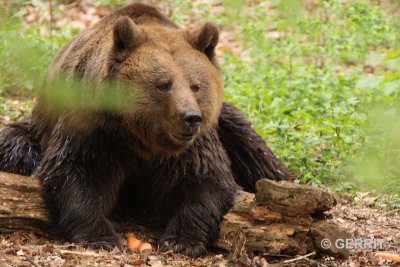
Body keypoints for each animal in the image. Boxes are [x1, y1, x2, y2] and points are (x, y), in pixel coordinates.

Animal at [0, 2, 294, 258]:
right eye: (164, 84)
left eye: (195, 85)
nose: (191, 117)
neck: (140, 138)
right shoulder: (94, 128)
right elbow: (73, 171)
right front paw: (102, 237)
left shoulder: (193, 145)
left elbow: (207, 179)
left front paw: (181, 240)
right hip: (33, 131)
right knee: (16, 147)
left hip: (227, 124)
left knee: (253, 150)